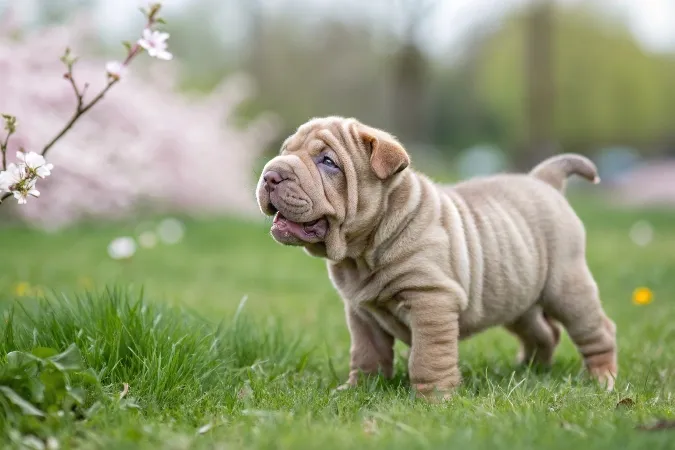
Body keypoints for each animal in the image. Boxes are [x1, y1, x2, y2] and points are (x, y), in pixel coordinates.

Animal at [255, 117, 616, 400]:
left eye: (328, 161)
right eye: (285, 152)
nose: (271, 174)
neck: (363, 252)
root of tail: (544, 179)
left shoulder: (430, 300)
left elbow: (428, 356)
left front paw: (434, 400)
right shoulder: (361, 313)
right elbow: (367, 354)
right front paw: (359, 391)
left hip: (567, 288)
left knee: (597, 330)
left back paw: (602, 379)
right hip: (517, 297)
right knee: (543, 332)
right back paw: (531, 370)